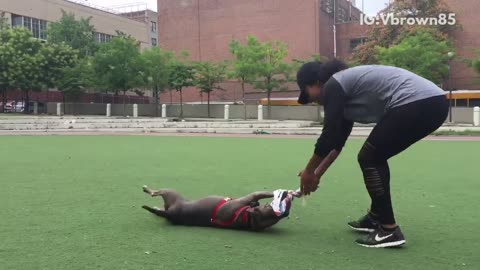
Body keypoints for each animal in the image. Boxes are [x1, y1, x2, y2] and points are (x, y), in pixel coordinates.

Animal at [141, 186, 294, 232]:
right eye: (269, 207)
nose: (286, 211)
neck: (246, 217)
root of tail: (172, 214)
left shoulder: (251, 197)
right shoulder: (251, 198)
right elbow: (259, 197)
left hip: (170, 193)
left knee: (155, 193)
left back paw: (147, 190)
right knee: (156, 196)